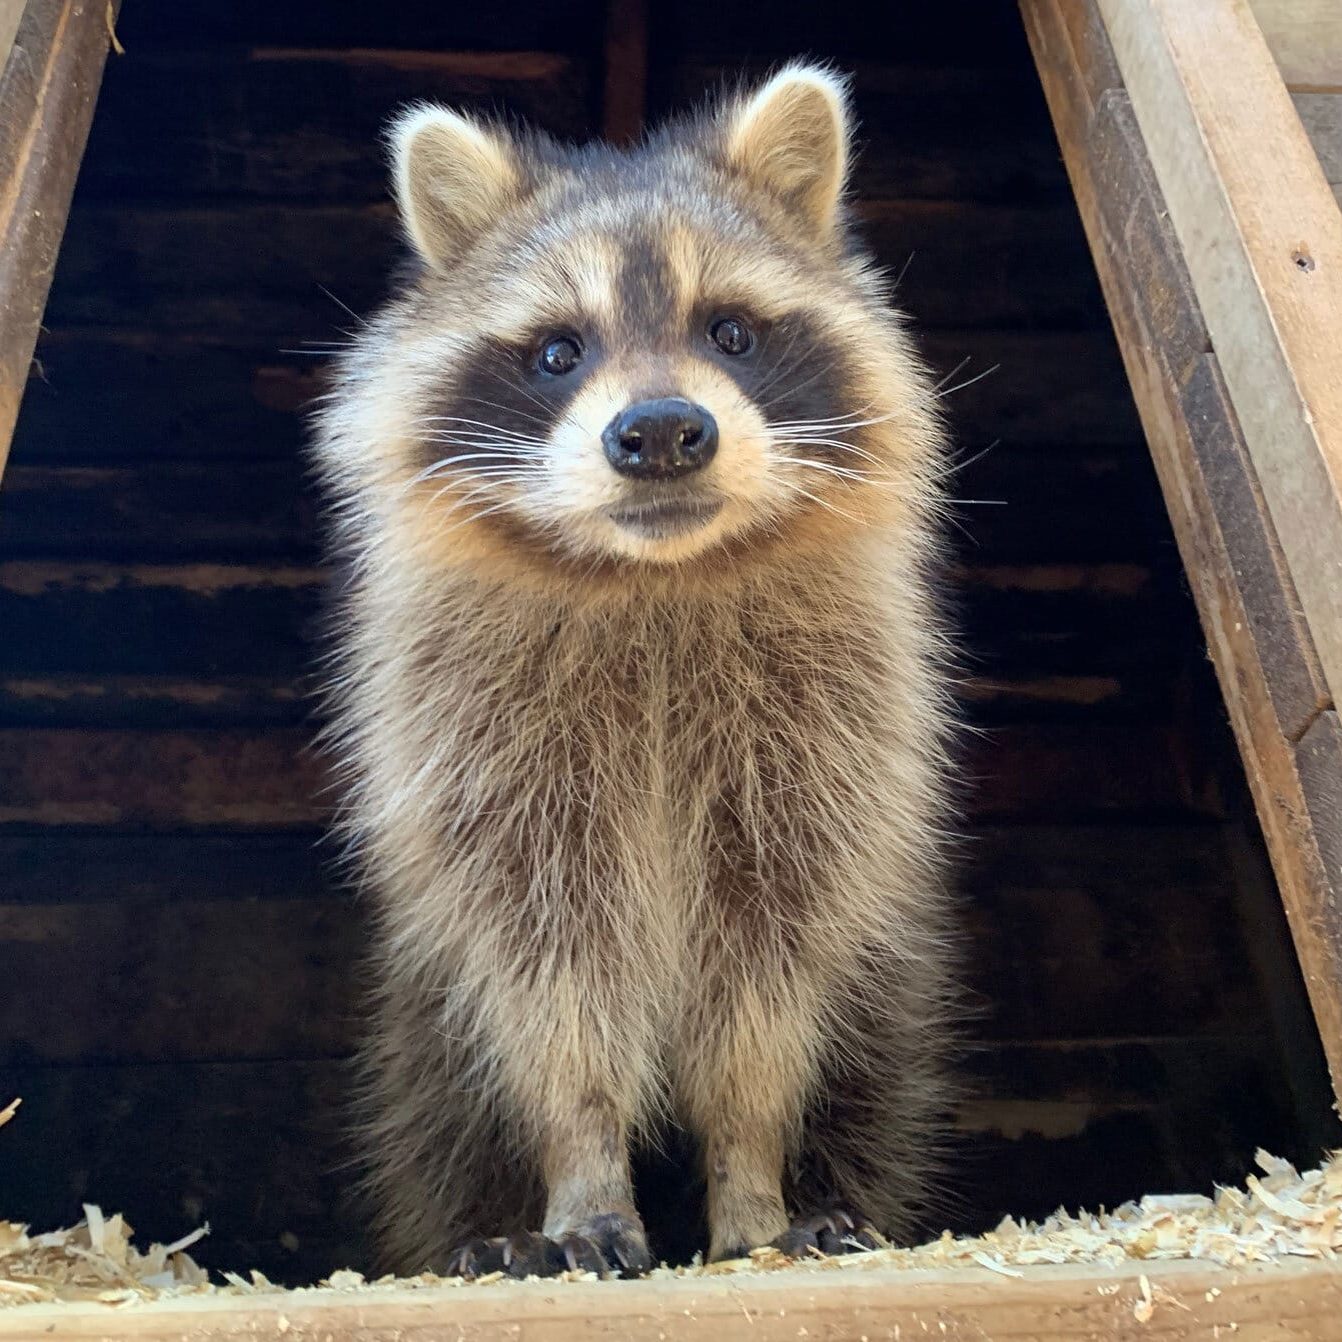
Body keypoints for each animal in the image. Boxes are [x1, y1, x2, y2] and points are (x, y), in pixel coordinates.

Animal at [315, 63, 960, 1277]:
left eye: (732, 331)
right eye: (558, 352)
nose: (660, 430)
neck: (654, 577)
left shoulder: (815, 754)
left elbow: (768, 972)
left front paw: (752, 1177)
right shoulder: (489, 760)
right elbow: (549, 974)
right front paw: (584, 1173)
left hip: (888, 1001)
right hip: (421, 1037)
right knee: (439, 1115)